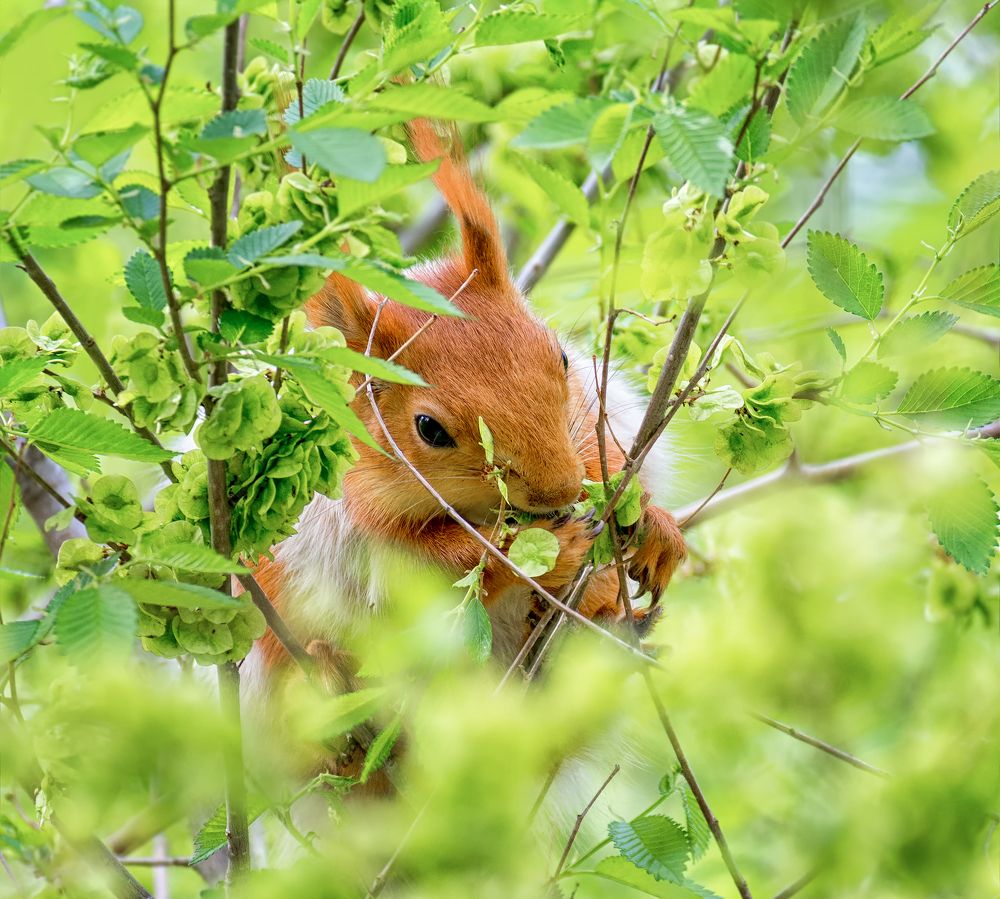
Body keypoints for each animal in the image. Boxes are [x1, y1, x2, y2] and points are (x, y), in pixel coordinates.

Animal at [246, 120, 685, 685]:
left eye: (563, 357)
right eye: (429, 429)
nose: (559, 490)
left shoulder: (592, 416)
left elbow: (604, 452)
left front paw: (651, 524)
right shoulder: (353, 527)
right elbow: (446, 567)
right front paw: (542, 550)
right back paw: (328, 672)